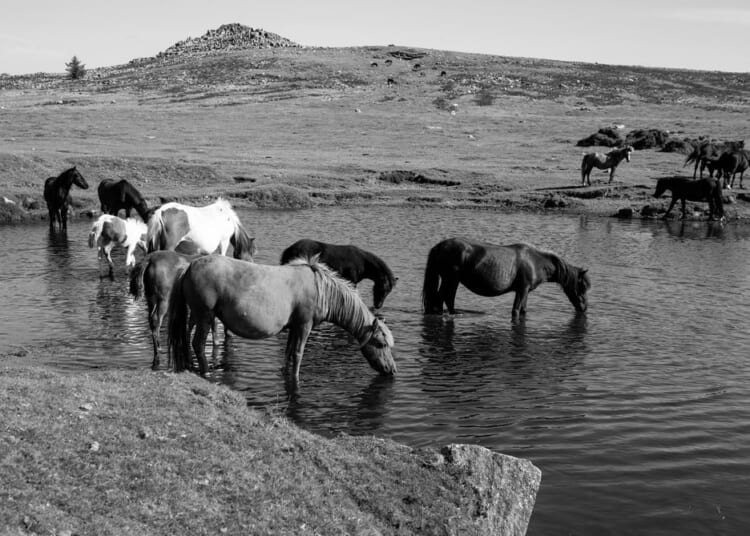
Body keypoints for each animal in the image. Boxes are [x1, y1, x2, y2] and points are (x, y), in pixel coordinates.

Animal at [167, 255, 397, 380]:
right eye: (380, 343)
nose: (392, 370)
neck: (321, 289)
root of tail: (189, 266)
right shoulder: (304, 326)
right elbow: (297, 354)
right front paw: (295, 378)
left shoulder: (294, 327)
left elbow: (288, 353)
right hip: (205, 315)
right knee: (197, 344)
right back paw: (206, 373)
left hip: (196, 315)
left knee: (186, 338)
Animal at [422, 237, 590, 319]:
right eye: (581, 287)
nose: (584, 308)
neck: (536, 262)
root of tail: (438, 247)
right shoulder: (522, 290)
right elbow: (515, 311)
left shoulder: (525, 292)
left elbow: (523, 310)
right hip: (450, 279)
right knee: (441, 299)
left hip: (452, 281)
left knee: (447, 299)